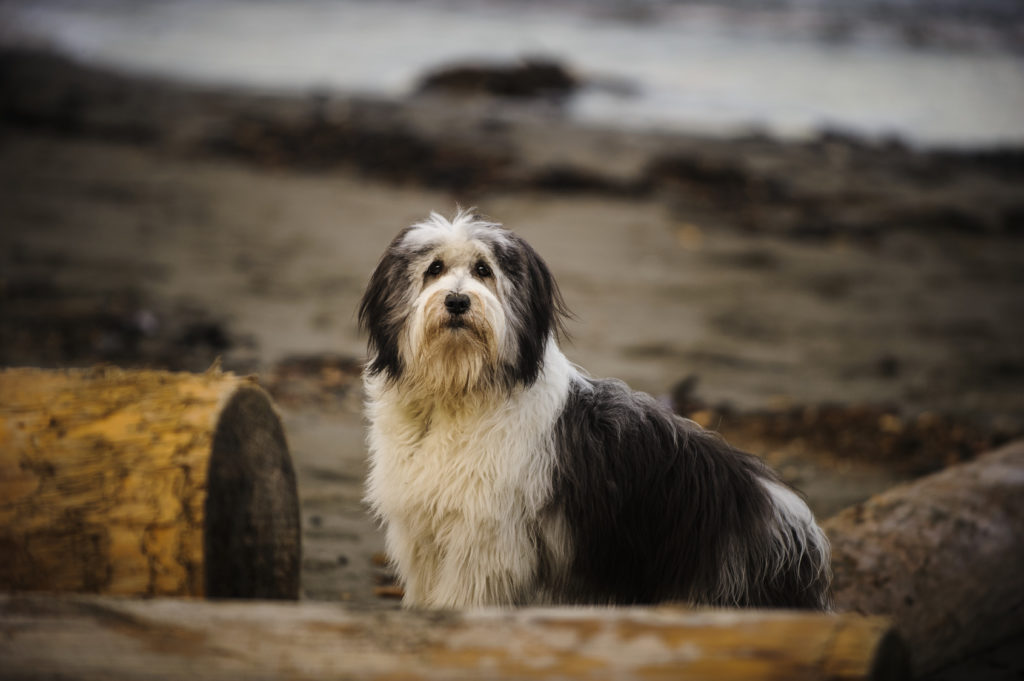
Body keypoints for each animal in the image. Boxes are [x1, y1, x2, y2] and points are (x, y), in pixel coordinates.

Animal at [360, 209, 831, 606]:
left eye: (483, 270)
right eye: (434, 269)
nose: (457, 301)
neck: (457, 393)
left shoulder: (484, 542)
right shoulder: (425, 533)